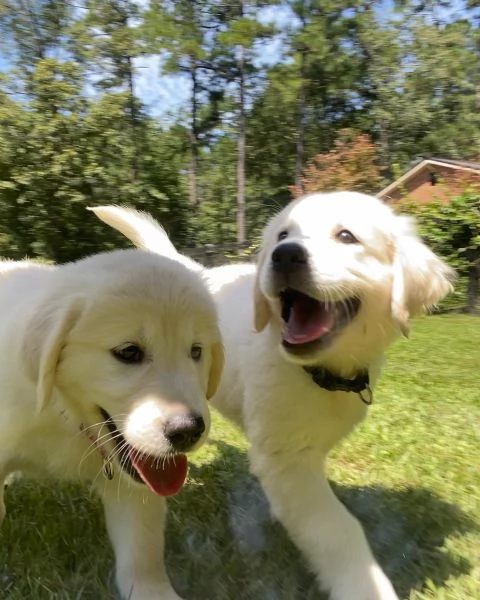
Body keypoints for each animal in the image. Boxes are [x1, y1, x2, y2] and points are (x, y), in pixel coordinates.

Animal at [0, 237, 222, 596]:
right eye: (128, 352)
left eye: (196, 351)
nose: (188, 431)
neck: (68, 415)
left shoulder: (136, 485)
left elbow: (142, 555)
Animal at [91, 193, 454, 600]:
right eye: (283, 235)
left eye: (346, 236)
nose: (285, 255)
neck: (318, 372)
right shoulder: (287, 461)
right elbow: (338, 528)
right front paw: (365, 586)